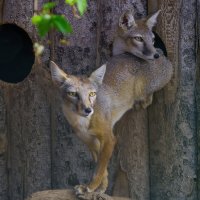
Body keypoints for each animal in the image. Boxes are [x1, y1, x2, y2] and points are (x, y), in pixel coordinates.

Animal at [49, 9, 173, 197]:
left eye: (92, 94)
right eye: (72, 94)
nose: (88, 110)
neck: (82, 122)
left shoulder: (109, 139)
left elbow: (100, 168)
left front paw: (90, 187)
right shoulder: (91, 142)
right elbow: (102, 168)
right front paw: (100, 188)